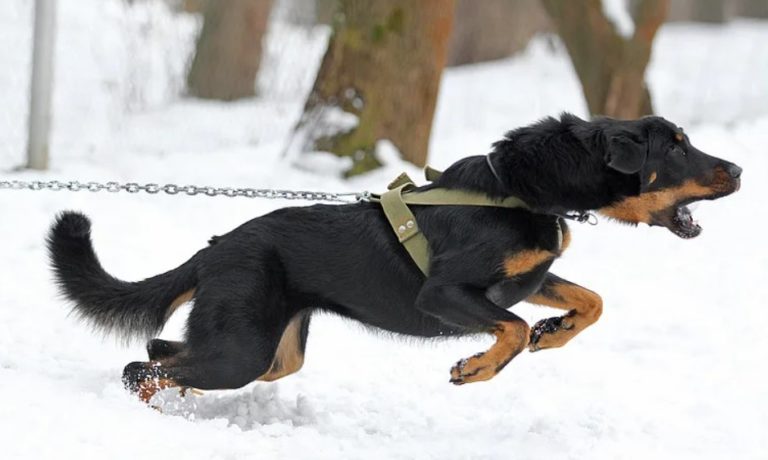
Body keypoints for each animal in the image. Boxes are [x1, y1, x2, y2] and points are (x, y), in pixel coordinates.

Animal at [46, 113, 736, 400]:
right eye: (676, 147)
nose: (739, 170)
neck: (523, 187)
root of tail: (213, 251)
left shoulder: (527, 277)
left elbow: (588, 302)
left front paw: (554, 331)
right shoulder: (446, 294)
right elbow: (510, 330)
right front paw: (475, 369)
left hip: (270, 351)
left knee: (160, 352)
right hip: (242, 350)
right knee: (140, 368)